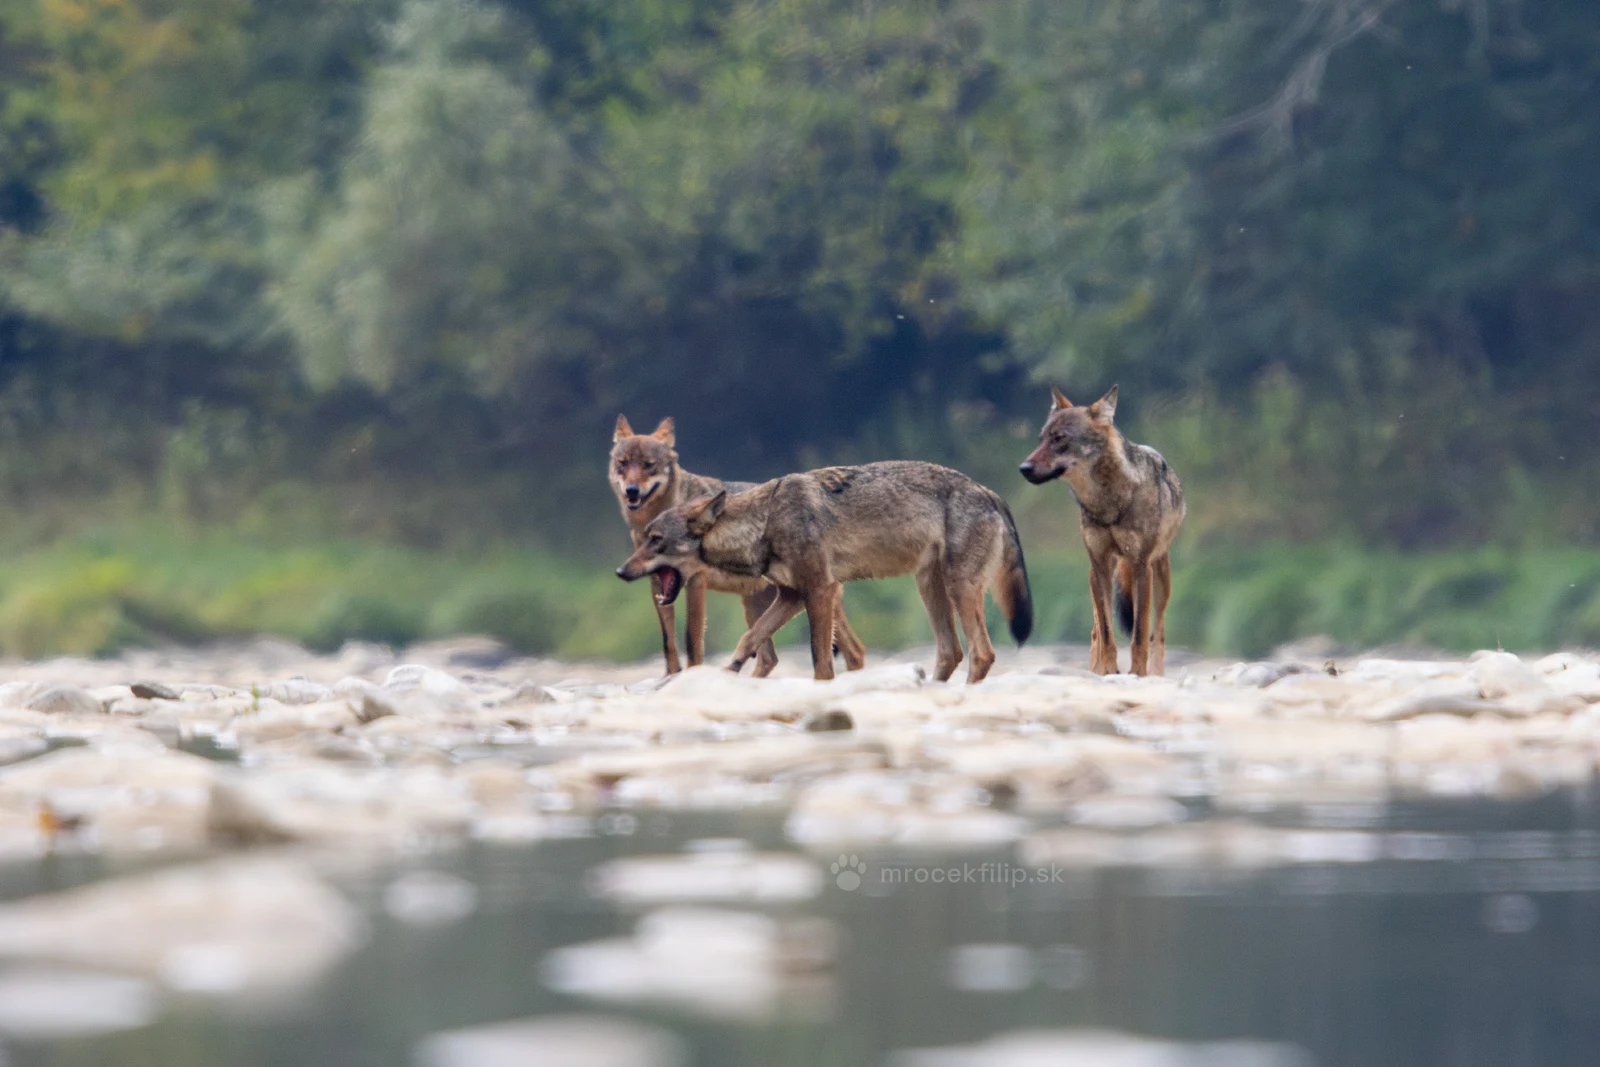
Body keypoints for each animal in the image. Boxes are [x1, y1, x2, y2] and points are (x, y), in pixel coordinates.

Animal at [610, 415, 865, 676]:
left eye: (648, 465)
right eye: (623, 463)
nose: (632, 490)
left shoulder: (696, 582)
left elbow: (692, 640)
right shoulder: (657, 584)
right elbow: (668, 641)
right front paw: (671, 676)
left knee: (854, 652)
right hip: (758, 603)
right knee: (768, 658)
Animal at [615, 461, 1033, 683]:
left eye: (655, 540)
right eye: (645, 538)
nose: (619, 571)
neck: (764, 522)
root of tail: (989, 492)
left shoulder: (820, 590)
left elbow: (820, 661)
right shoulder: (790, 596)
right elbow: (751, 638)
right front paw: (728, 671)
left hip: (958, 587)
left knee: (982, 653)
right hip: (929, 587)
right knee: (951, 652)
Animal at [1019, 385, 1184, 676]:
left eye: (1059, 438)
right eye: (1041, 439)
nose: (1023, 469)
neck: (1108, 503)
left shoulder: (1141, 567)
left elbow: (1140, 634)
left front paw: (1137, 674)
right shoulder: (1101, 565)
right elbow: (1106, 632)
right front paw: (1108, 671)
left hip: (1161, 577)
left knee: (1158, 632)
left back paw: (1156, 672)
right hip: (1095, 578)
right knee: (1096, 630)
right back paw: (1095, 669)